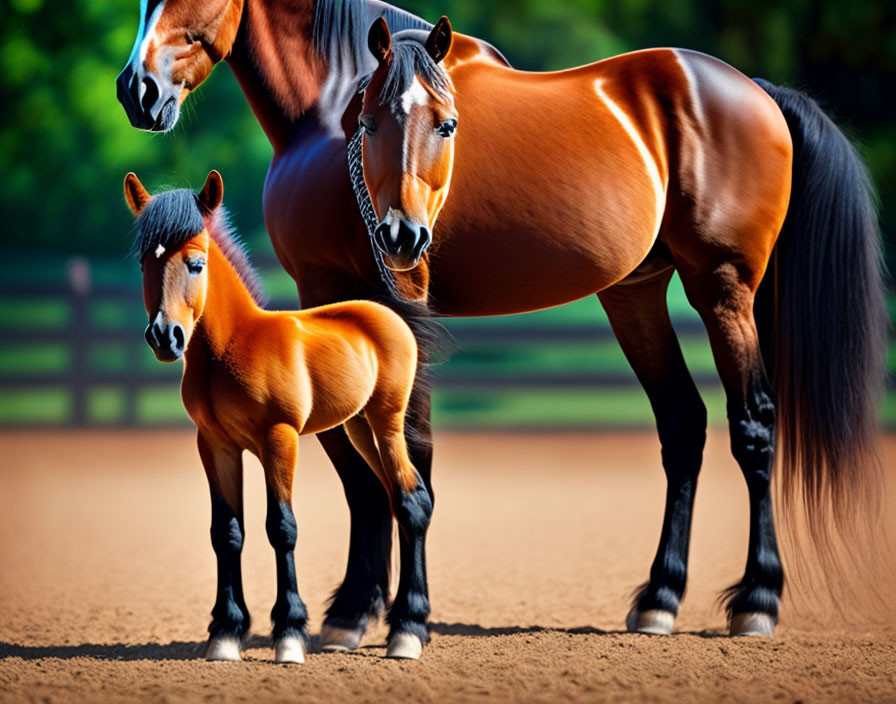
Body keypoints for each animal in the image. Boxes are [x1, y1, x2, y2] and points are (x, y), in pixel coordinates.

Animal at [115, 0, 884, 648]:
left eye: (446, 125)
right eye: (370, 123)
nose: (137, 90)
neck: (329, 110)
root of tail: (756, 90)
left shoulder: (377, 299)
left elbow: (396, 462)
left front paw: (396, 616)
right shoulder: (339, 300)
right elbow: (364, 467)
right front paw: (356, 613)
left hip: (723, 287)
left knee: (753, 425)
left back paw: (756, 601)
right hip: (636, 293)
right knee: (682, 425)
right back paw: (659, 601)